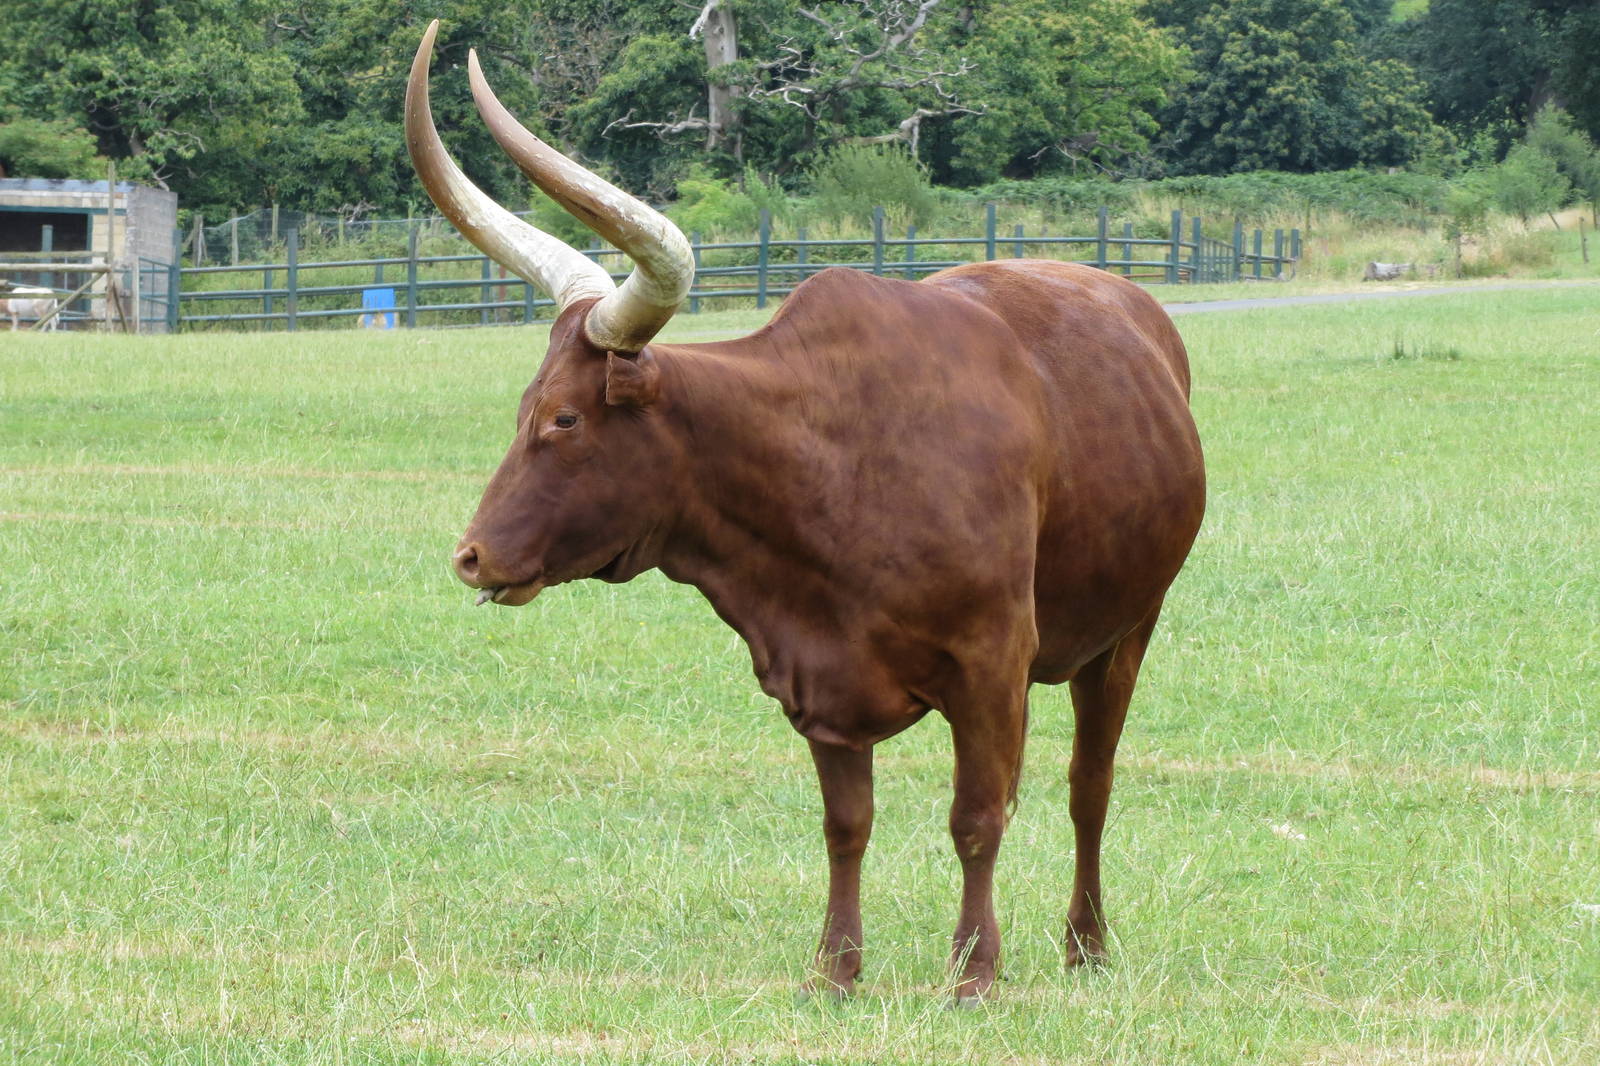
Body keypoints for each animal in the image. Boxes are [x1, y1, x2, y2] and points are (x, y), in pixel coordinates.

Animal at [406, 21, 1205, 1003]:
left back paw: (1086, 942)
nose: (472, 556)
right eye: (526, 404)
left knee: (1090, 784)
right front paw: (834, 969)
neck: (827, 468)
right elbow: (845, 826)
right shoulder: (820, 678)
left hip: (1128, 627)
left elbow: (977, 818)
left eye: (564, 418)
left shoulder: (992, 664)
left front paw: (974, 971)